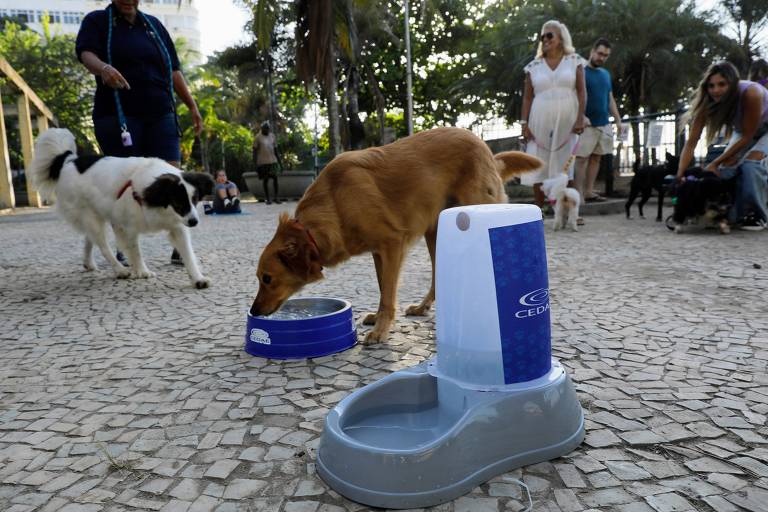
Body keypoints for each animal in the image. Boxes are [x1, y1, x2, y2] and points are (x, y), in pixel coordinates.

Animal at [29, 128, 213, 288]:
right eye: (177, 202)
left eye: (195, 199)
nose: (194, 222)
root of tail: (69, 161)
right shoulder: (127, 227)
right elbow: (135, 250)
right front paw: (142, 271)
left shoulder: (177, 226)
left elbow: (187, 253)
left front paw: (198, 278)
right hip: (90, 216)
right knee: (102, 245)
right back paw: (120, 270)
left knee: (90, 238)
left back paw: (89, 263)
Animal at [250, 127, 540, 344]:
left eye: (267, 278)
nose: (253, 311)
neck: (335, 201)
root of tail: (487, 150)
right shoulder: (379, 252)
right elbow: (382, 289)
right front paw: (378, 319)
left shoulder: (391, 244)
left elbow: (388, 293)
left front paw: (381, 330)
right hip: (436, 232)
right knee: (437, 277)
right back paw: (423, 307)